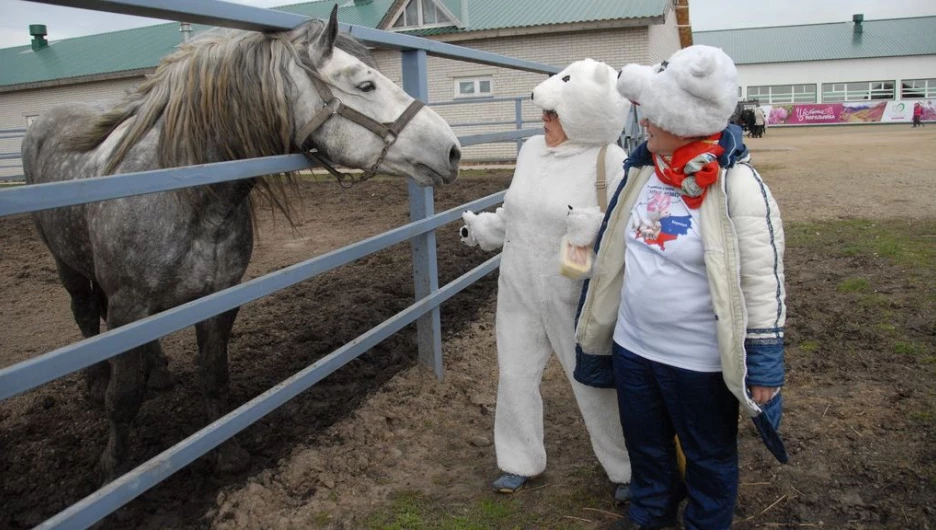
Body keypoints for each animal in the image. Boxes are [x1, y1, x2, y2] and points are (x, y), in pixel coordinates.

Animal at [21, 9, 460, 478]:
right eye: (365, 85)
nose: (452, 150)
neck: (185, 194)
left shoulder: (219, 298)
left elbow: (214, 376)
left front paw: (227, 456)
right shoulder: (128, 308)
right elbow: (122, 398)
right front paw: (115, 468)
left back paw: (158, 371)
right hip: (68, 264)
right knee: (86, 316)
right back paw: (95, 382)